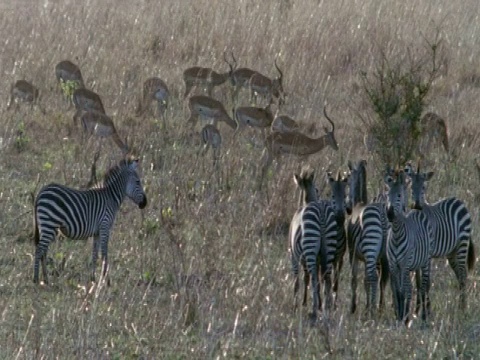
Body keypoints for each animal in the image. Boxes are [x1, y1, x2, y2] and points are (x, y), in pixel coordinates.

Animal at [288, 167, 338, 322]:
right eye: (317, 189)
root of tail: (321, 212)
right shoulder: (316, 257)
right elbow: (307, 279)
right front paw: (308, 303)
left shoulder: (293, 255)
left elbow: (297, 280)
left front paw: (296, 306)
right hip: (329, 247)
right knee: (326, 278)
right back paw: (326, 309)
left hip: (310, 247)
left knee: (315, 277)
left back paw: (315, 311)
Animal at [344, 160, 390, 318]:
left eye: (347, 180)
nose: (347, 208)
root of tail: (382, 216)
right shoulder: (365, 257)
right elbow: (365, 281)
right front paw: (367, 305)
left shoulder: (353, 252)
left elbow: (354, 278)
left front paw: (353, 307)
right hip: (384, 253)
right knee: (383, 278)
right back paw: (380, 307)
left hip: (371, 247)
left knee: (374, 277)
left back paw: (372, 312)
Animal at [384, 168, 434, 324]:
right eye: (387, 195)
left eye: (399, 195)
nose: (389, 214)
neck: (396, 235)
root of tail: (417, 209)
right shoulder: (394, 265)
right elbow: (398, 291)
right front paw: (400, 316)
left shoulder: (404, 264)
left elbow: (403, 290)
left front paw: (403, 317)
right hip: (413, 264)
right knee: (412, 287)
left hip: (425, 261)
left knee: (423, 285)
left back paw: (424, 315)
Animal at [404, 162, 472, 308]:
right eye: (411, 187)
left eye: (424, 187)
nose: (417, 205)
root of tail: (458, 200)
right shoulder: (418, 252)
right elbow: (418, 282)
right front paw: (418, 307)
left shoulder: (428, 253)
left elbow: (426, 283)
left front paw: (425, 306)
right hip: (451, 251)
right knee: (459, 274)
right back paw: (461, 304)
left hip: (462, 243)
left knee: (463, 275)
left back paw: (462, 307)